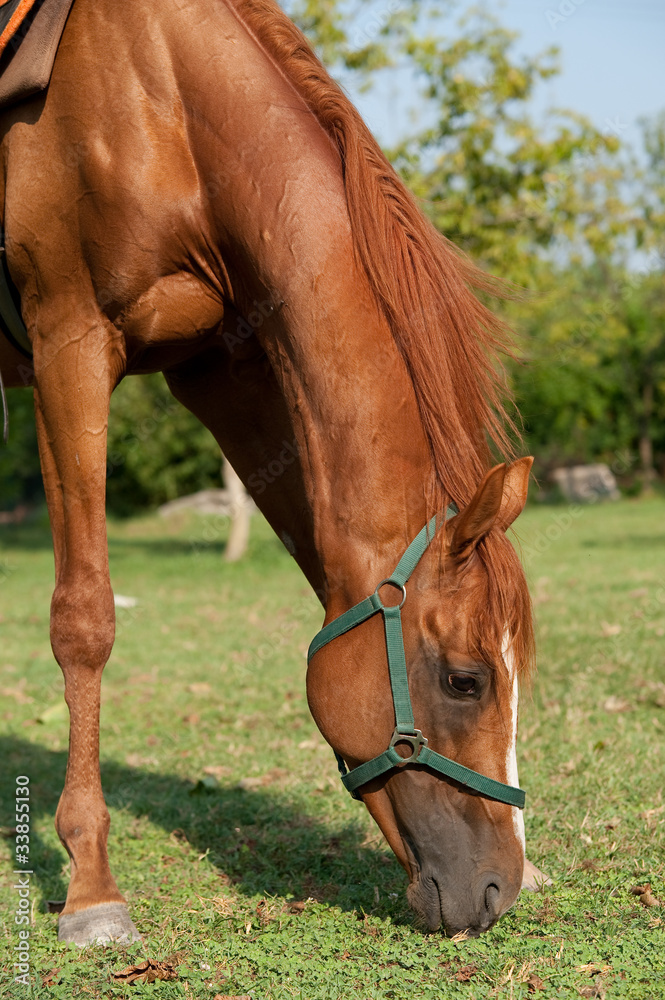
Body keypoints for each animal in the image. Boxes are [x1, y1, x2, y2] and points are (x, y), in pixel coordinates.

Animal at [0, 0, 538, 944]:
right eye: (465, 680)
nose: (498, 886)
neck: (160, 94)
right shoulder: (70, 340)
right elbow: (84, 619)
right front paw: (94, 887)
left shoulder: (231, 370)